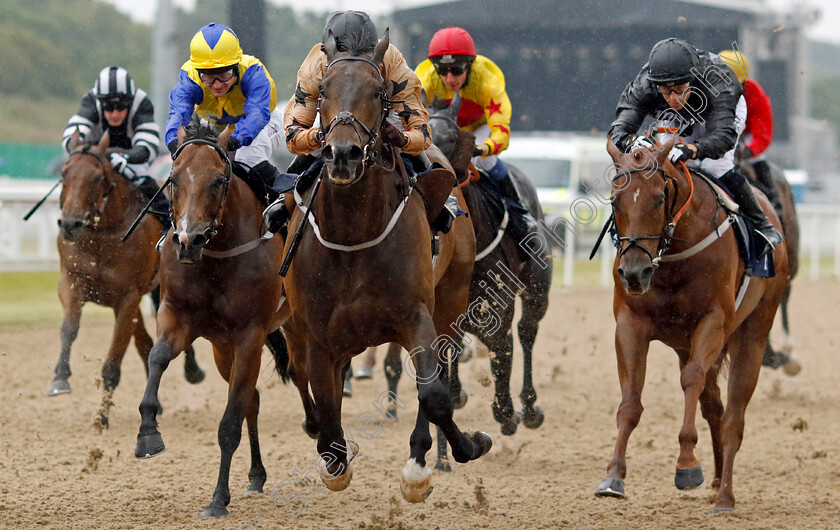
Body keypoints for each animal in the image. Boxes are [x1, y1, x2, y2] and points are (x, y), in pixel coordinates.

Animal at [53, 131, 203, 424]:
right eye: (64, 173)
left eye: (97, 177)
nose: (70, 224)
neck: (102, 234)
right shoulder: (72, 281)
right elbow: (69, 328)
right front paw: (60, 378)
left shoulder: (128, 298)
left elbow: (113, 362)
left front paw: (102, 417)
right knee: (145, 343)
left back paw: (192, 371)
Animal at [132, 119, 288, 516]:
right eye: (172, 178)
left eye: (218, 180)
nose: (189, 240)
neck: (216, 258)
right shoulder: (178, 317)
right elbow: (157, 357)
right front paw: (148, 434)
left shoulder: (250, 335)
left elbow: (229, 422)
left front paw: (218, 498)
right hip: (222, 350)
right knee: (253, 398)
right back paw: (257, 475)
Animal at [282, 31, 492, 502]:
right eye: (323, 91)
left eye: (379, 93)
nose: (343, 153)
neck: (353, 235)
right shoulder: (318, 333)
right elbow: (326, 411)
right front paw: (334, 463)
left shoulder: (414, 315)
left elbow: (434, 394)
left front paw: (446, 456)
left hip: (450, 298)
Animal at [592, 138, 792, 510]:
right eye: (614, 199)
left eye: (659, 198)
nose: (634, 272)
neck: (670, 258)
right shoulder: (630, 323)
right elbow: (630, 402)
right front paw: (613, 476)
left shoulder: (713, 322)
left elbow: (691, 381)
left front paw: (686, 464)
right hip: (687, 344)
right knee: (714, 406)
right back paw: (716, 479)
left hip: (753, 332)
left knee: (734, 416)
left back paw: (725, 495)